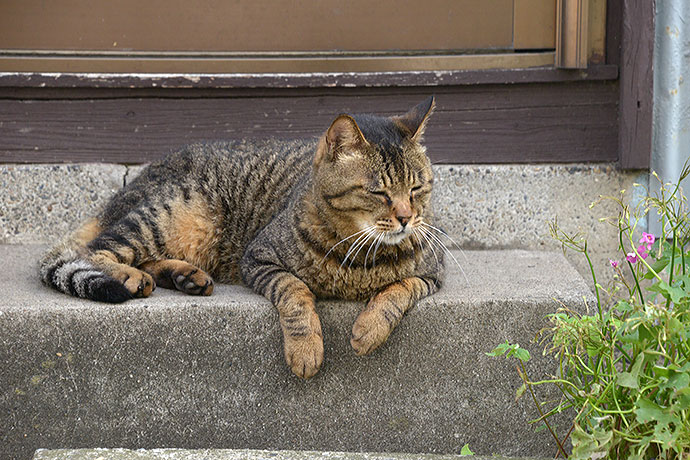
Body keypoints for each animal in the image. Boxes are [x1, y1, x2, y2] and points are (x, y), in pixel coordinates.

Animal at [40, 96, 444, 378]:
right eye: (379, 192)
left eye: (417, 188)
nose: (407, 218)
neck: (360, 256)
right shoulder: (258, 258)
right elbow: (295, 293)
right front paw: (306, 350)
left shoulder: (434, 273)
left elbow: (400, 289)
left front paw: (369, 329)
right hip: (177, 213)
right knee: (97, 249)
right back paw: (131, 276)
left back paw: (184, 276)